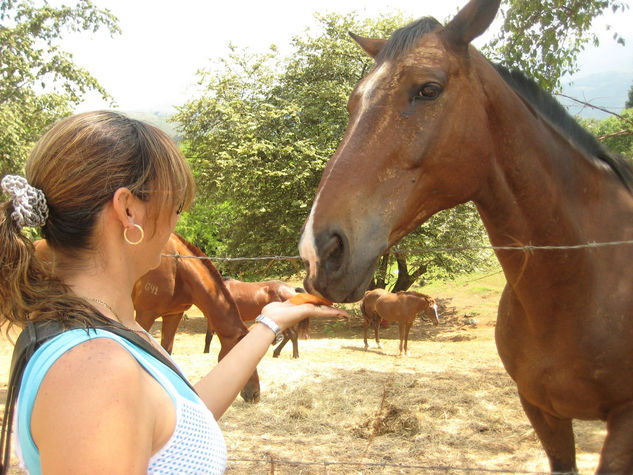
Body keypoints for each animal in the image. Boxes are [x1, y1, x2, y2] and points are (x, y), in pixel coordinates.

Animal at [298, 0, 632, 472]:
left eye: (428, 89)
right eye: (354, 101)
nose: (318, 251)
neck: (586, 274)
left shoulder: (625, 424)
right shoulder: (542, 413)